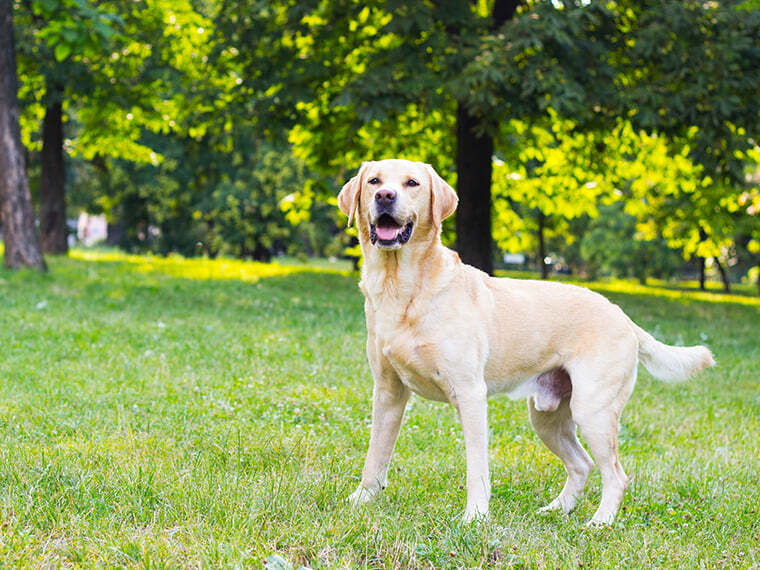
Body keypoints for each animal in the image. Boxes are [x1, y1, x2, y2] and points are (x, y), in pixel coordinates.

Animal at [336, 158, 712, 520]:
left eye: (412, 183)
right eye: (374, 181)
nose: (385, 196)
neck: (401, 288)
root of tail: (623, 316)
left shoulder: (470, 393)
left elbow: (476, 467)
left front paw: (475, 517)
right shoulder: (388, 392)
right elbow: (376, 453)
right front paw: (362, 499)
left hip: (592, 410)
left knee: (615, 475)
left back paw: (599, 522)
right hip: (547, 417)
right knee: (582, 464)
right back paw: (556, 510)